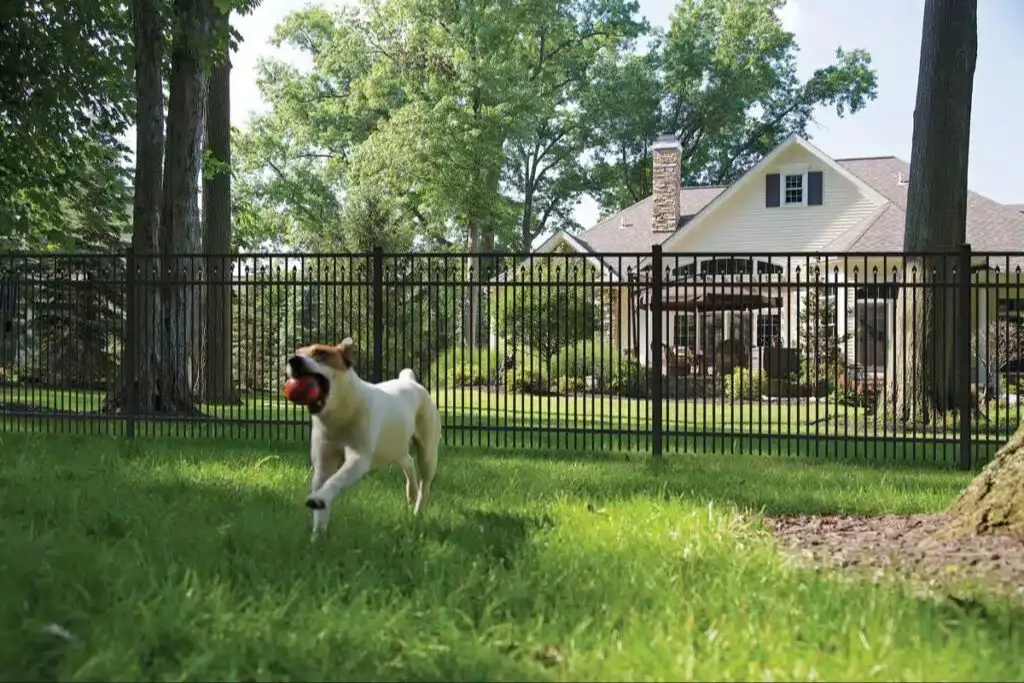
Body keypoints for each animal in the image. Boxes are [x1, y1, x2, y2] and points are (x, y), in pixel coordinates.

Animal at [284, 337, 440, 540]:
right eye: (297, 352)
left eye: (321, 353)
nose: (292, 360)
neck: (339, 414)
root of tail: (410, 380)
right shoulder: (323, 464)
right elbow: (322, 484)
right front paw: (317, 535)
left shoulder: (358, 459)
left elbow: (336, 480)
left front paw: (319, 499)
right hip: (392, 448)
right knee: (407, 460)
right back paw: (411, 492)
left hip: (427, 451)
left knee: (425, 481)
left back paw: (418, 511)